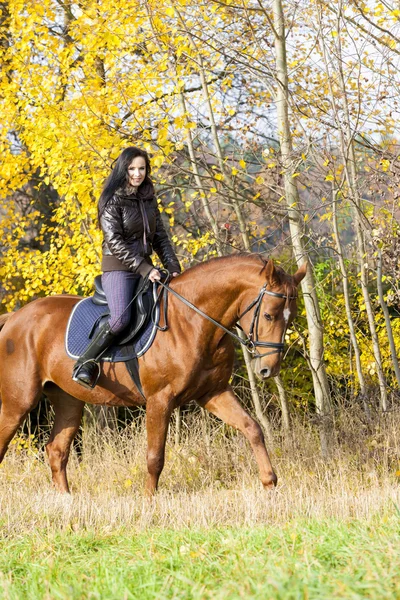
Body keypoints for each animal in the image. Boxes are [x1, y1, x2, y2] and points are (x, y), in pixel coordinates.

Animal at [0, 255, 306, 494]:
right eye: (268, 315)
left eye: (290, 317)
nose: (268, 369)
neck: (193, 320)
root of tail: (15, 317)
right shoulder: (160, 400)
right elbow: (154, 457)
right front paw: (149, 501)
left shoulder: (214, 392)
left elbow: (252, 428)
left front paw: (270, 483)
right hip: (19, 403)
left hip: (68, 401)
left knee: (56, 450)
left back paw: (67, 501)